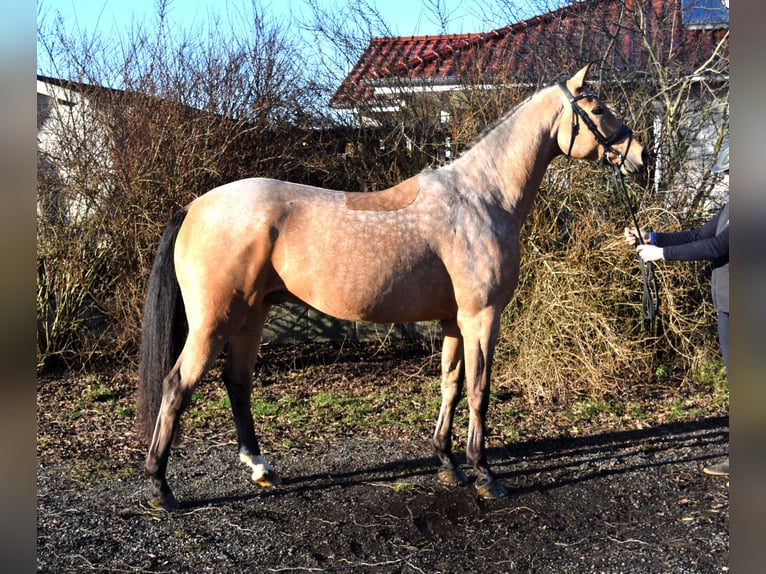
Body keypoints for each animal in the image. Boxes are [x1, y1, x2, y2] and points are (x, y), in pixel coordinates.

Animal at [138, 63, 648, 510]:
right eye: (598, 107)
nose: (641, 157)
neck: (481, 198)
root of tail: (196, 206)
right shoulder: (481, 317)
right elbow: (480, 390)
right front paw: (485, 474)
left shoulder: (453, 321)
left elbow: (451, 384)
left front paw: (448, 464)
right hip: (214, 322)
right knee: (177, 384)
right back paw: (161, 487)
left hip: (252, 316)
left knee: (237, 383)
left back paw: (261, 469)